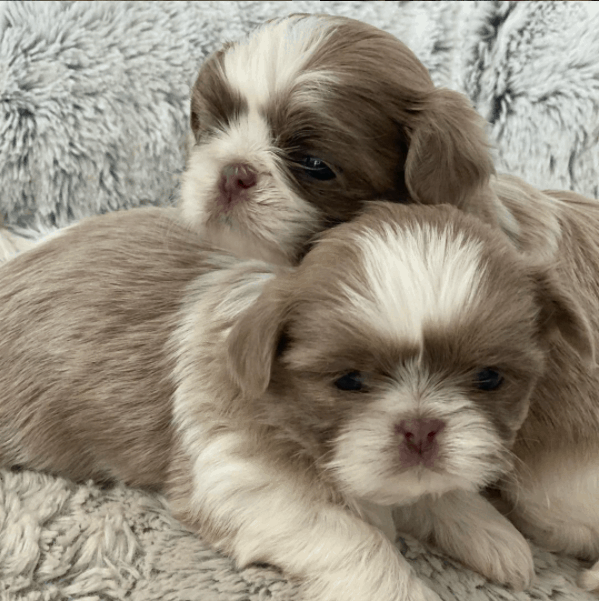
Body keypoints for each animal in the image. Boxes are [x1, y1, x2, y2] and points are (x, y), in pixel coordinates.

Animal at [0, 203, 592, 600]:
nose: (421, 428)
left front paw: (492, 533)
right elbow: (354, 538)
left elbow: (433, 491)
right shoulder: (240, 480)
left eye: (490, 378)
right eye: (348, 381)